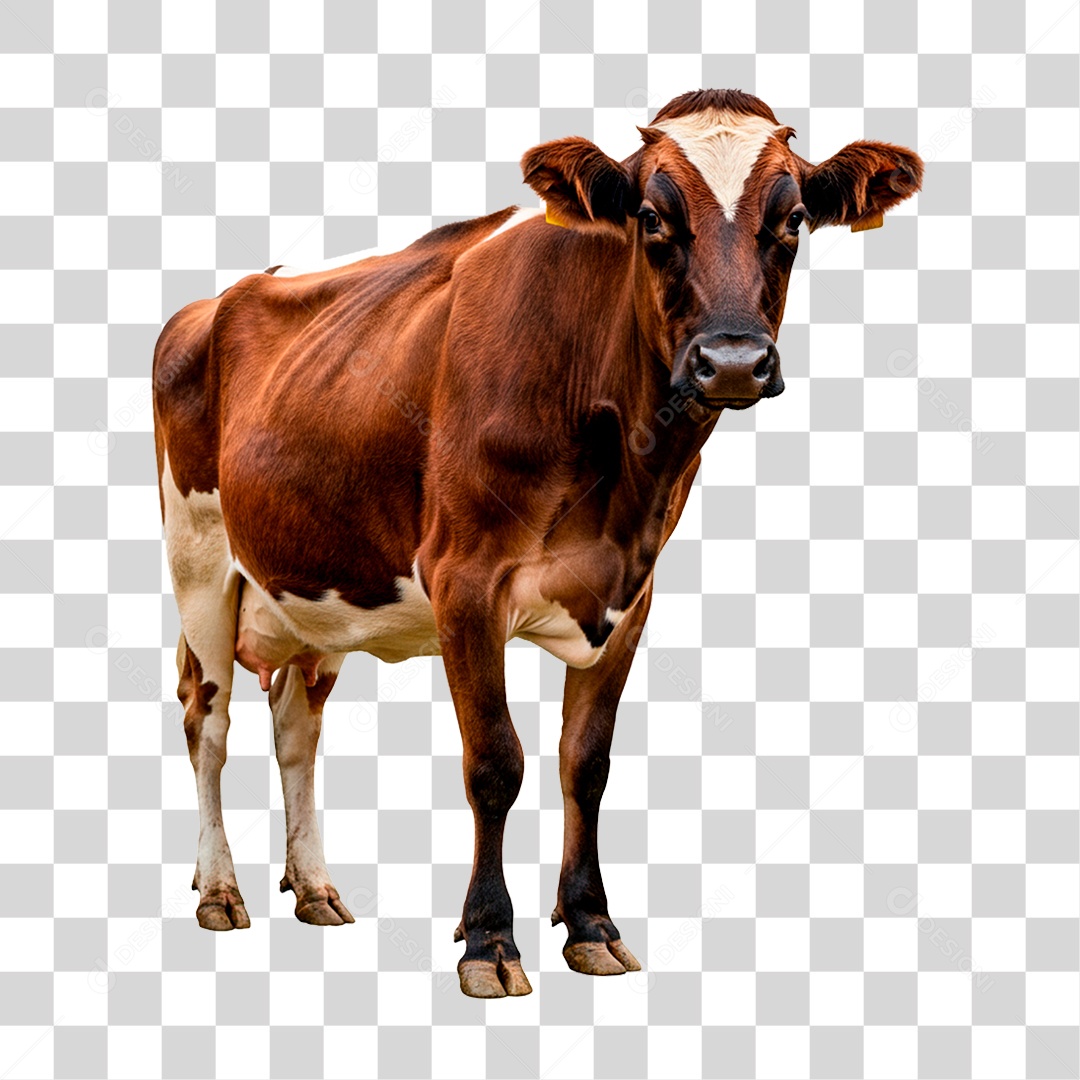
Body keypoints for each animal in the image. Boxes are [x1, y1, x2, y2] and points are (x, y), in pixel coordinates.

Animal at [153, 89, 922, 998]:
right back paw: (220, 890)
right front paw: (489, 939)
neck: (622, 472)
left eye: (795, 218)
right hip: (200, 563)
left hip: (319, 586)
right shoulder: (464, 583)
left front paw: (590, 924)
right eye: (652, 218)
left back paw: (314, 889)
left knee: (294, 724)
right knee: (208, 720)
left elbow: (586, 762)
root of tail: (215, 302)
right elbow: (496, 763)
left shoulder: (629, 595)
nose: (732, 360)